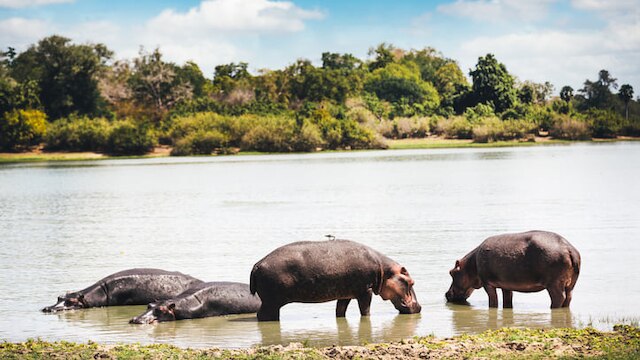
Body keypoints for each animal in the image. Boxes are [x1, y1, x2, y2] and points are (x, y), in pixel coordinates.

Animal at [249, 239, 420, 320]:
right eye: (411, 282)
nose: (419, 307)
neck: (384, 270)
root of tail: (257, 264)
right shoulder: (366, 291)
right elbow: (365, 310)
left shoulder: (345, 295)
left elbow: (340, 311)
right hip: (271, 302)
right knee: (263, 315)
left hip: (272, 303)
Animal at [444, 232, 580, 308]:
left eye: (451, 272)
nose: (446, 294)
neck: (471, 264)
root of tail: (570, 249)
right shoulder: (506, 285)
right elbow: (507, 301)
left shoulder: (487, 283)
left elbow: (493, 301)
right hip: (571, 285)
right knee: (568, 297)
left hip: (554, 284)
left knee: (558, 298)